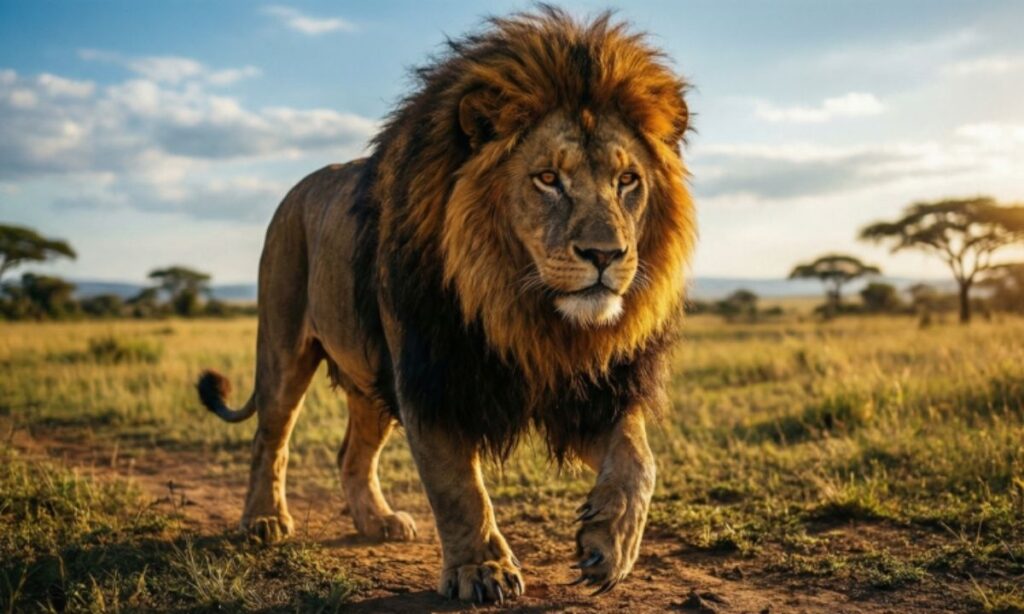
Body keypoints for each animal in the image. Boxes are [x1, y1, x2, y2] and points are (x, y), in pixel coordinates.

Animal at [197, 7, 694, 603]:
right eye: (548, 178)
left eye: (627, 181)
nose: (605, 254)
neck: (523, 309)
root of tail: (298, 188)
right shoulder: (431, 377)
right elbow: (457, 486)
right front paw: (482, 568)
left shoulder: (592, 388)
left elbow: (640, 461)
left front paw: (609, 545)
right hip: (285, 347)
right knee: (269, 438)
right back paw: (263, 521)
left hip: (371, 377)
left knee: (351, 454)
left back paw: (378, 521)